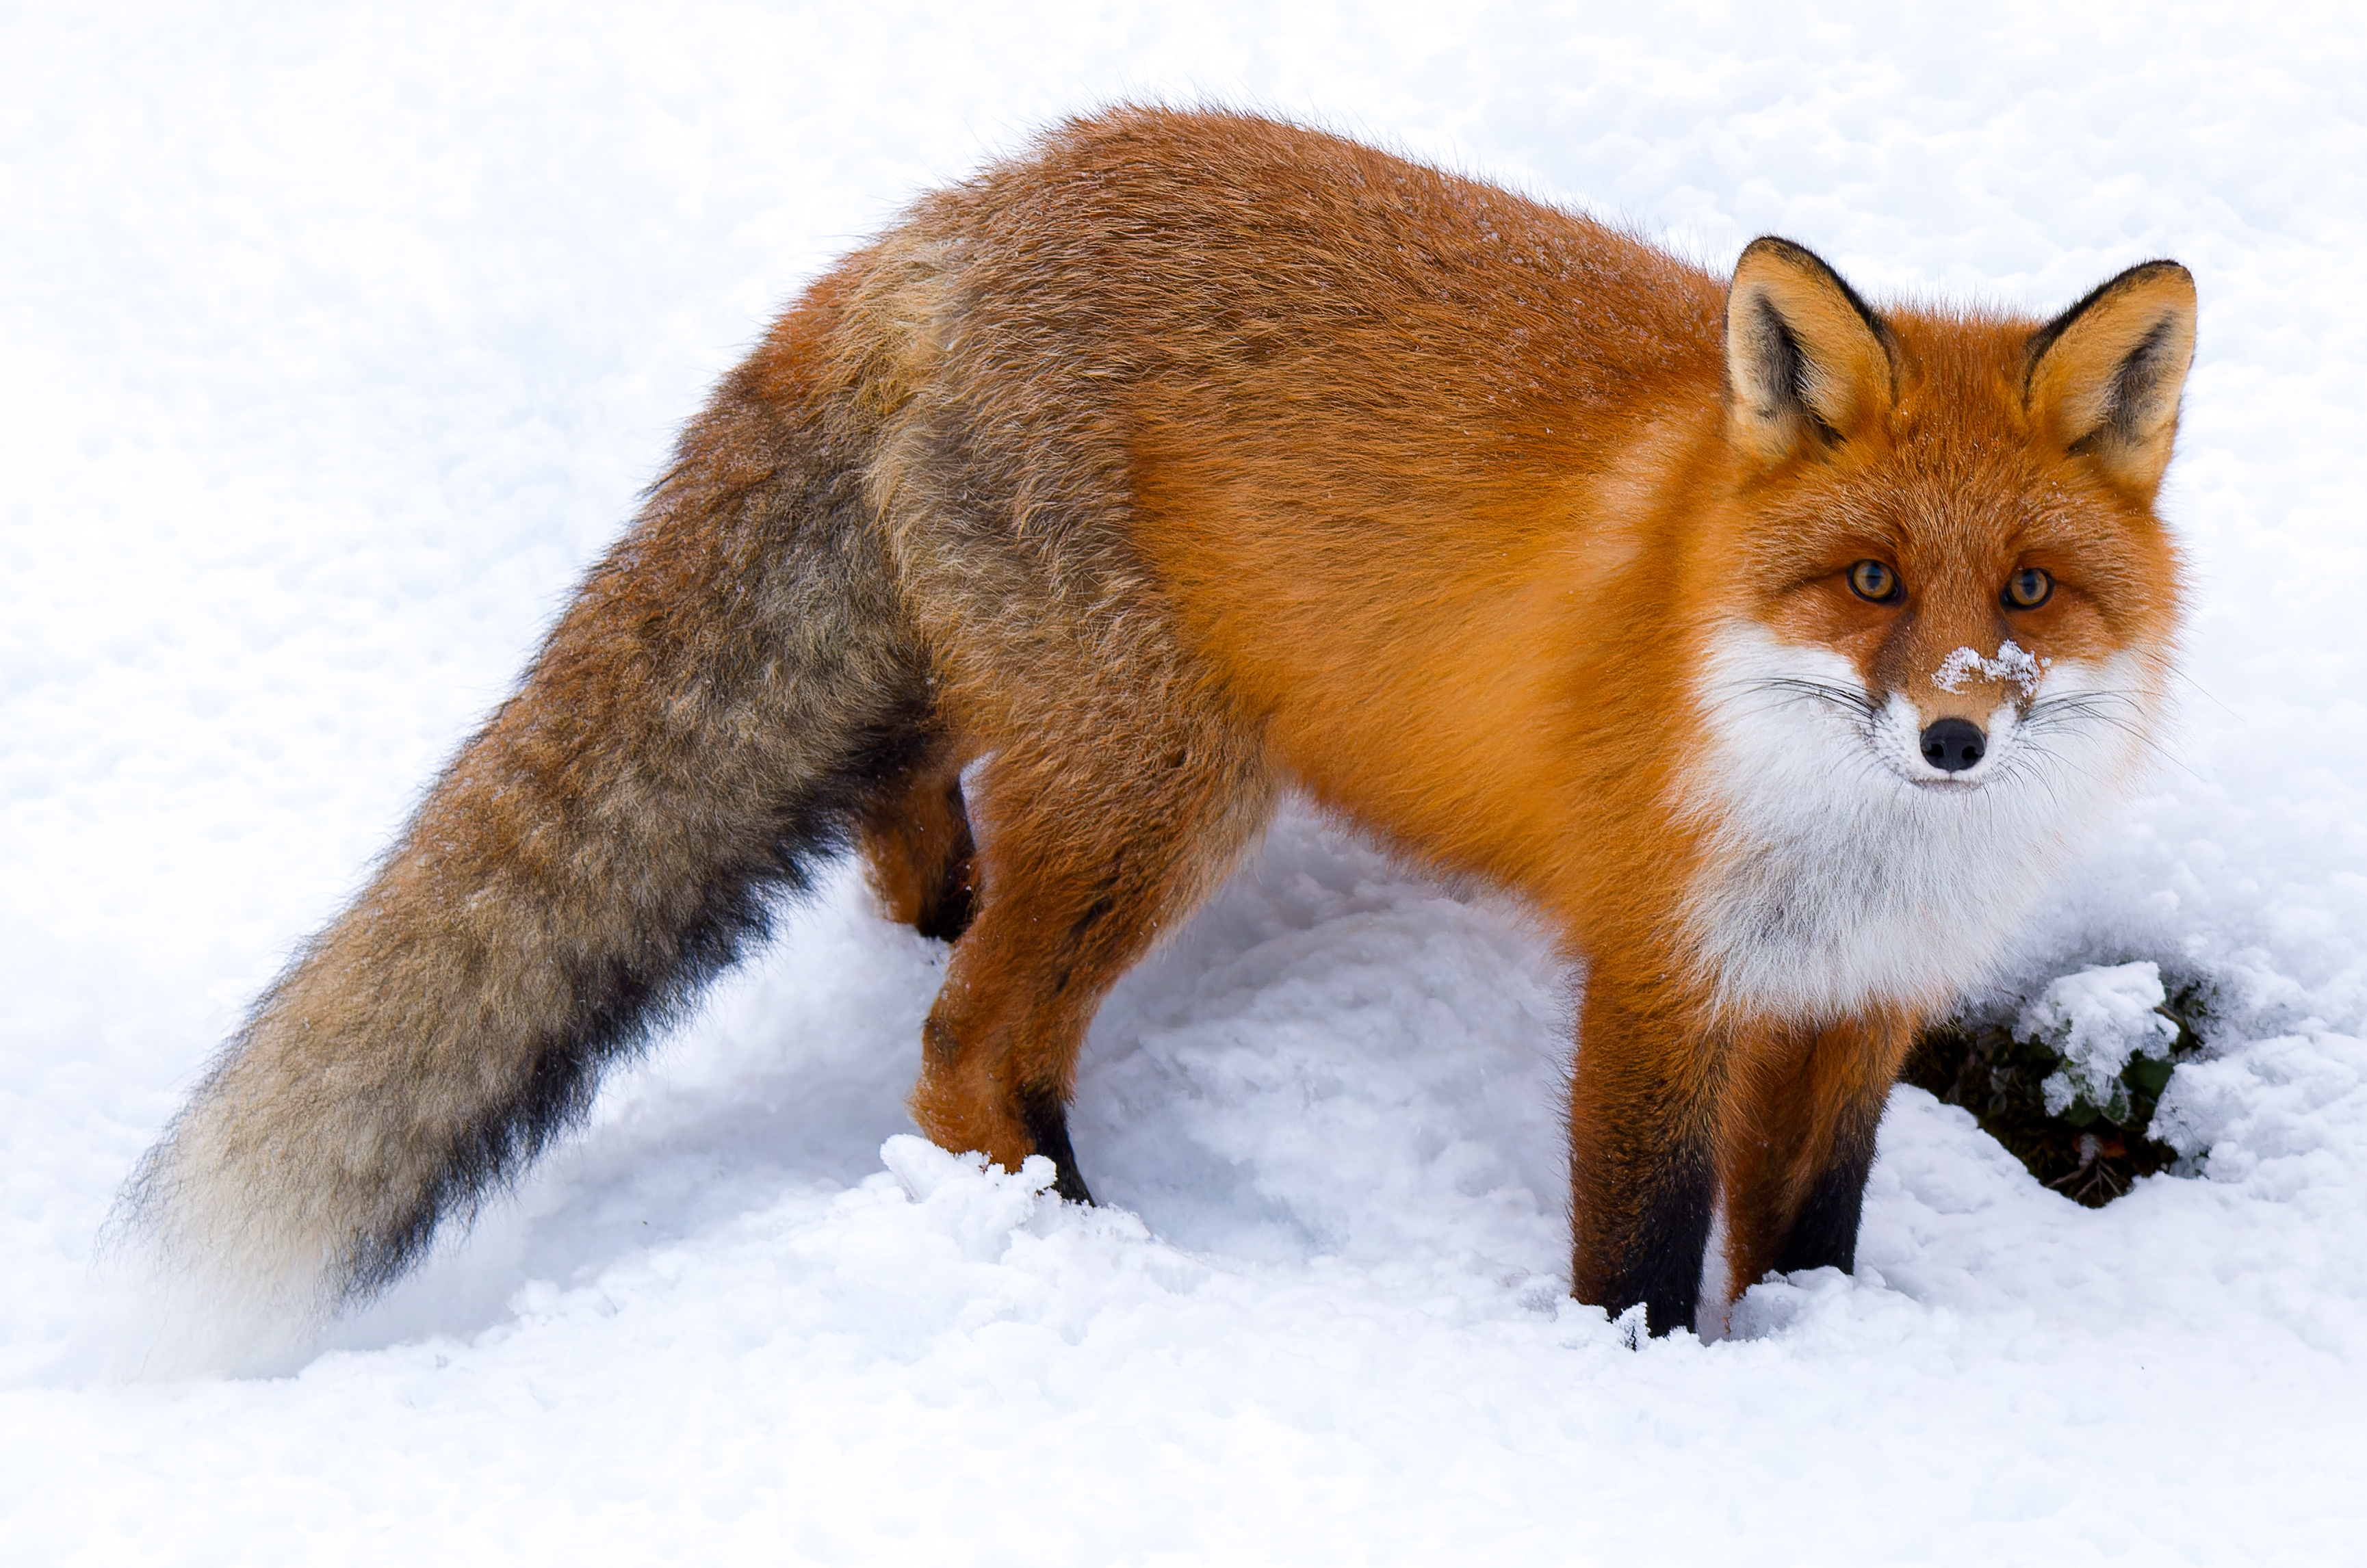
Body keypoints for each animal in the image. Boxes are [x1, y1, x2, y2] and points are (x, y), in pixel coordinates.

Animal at [124, 106, 2192, 1342]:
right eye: (1868, 581)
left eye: (2026, 592)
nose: (1953, 740)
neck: (1859, 849)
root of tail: (948, 218)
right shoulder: (1658, 979)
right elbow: (1640, 1248)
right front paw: (1650, 1388)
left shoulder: (1860, 1003)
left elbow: (1808, 1235)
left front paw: (1816, 1363)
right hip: (1171, 784)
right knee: (966, 1052)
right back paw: (1094, 1258)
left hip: (1052, 722)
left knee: (902, 815)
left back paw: (944, 919)